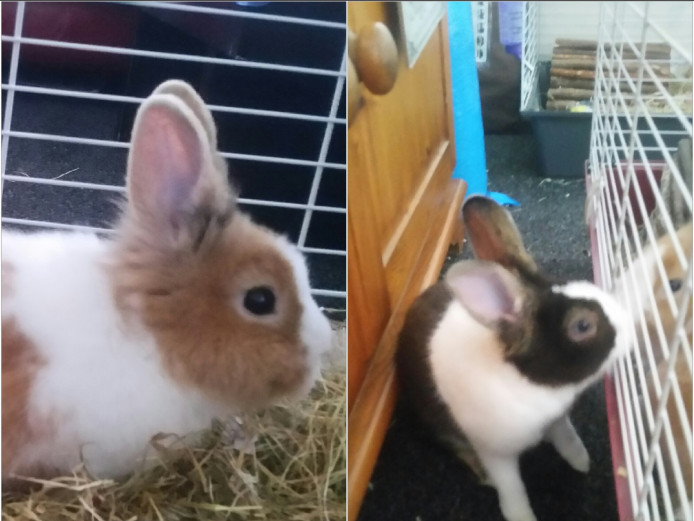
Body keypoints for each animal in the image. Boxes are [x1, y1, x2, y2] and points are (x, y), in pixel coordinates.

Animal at [395, 195, 633, 521]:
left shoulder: (558, 419)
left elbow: (566, 434)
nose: (632, 325)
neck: (534, 386)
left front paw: (580, 460)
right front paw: (521, 515)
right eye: (583, 326)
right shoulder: (495, 453)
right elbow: (512, 487)